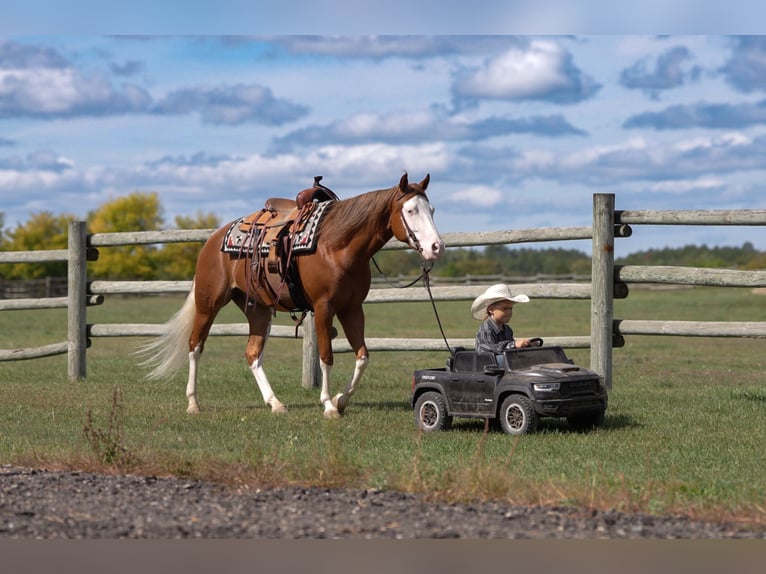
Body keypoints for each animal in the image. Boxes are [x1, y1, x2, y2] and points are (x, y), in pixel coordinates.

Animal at [140, 173, 444, 419]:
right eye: (410, 210)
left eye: (431, 209)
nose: (436, 247)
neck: (338, 245)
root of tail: (213, 240)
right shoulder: (324, 307)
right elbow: (326, 356)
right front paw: (328, 405)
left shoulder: (352, 308)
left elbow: (362, 357)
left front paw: (340, 399)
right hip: (208, 304)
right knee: (195, 346)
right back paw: (193, 403)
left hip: (258, 309)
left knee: (252, 353)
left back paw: (275, 403)